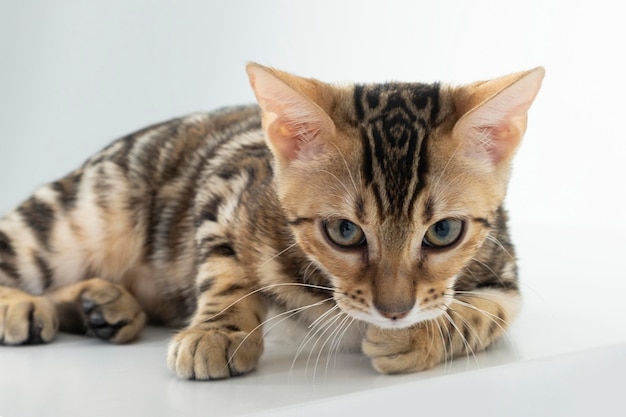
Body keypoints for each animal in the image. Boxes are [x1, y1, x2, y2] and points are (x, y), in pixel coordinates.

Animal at [0, 63, 540, 378]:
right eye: (344, 232)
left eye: (443, 232)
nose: (394, 312)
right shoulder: (226, 182)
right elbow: (224, 270)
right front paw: (218, 332)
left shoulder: (506, 275)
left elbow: (479, 316)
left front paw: (416, 336)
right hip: (78, 215)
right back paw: (28, 307)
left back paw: (103, 305)